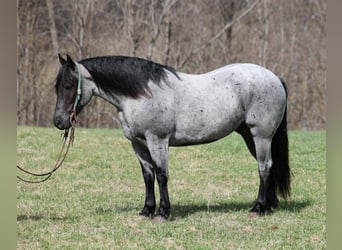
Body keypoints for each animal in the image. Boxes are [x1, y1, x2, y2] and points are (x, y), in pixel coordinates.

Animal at [54, 53, 292, 221]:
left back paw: (258, 208)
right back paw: (269, 205)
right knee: (269, 165)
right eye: (57, 87)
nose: (58, 122)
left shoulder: (157, 141)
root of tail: (274, 78)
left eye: (68, 85)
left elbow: (161, 175)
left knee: (264, 167)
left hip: (261, 135)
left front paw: (163, 212)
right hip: (250, 136)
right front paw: (146, 210)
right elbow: (148, 176)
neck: (141, 95)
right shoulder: (138, 144)